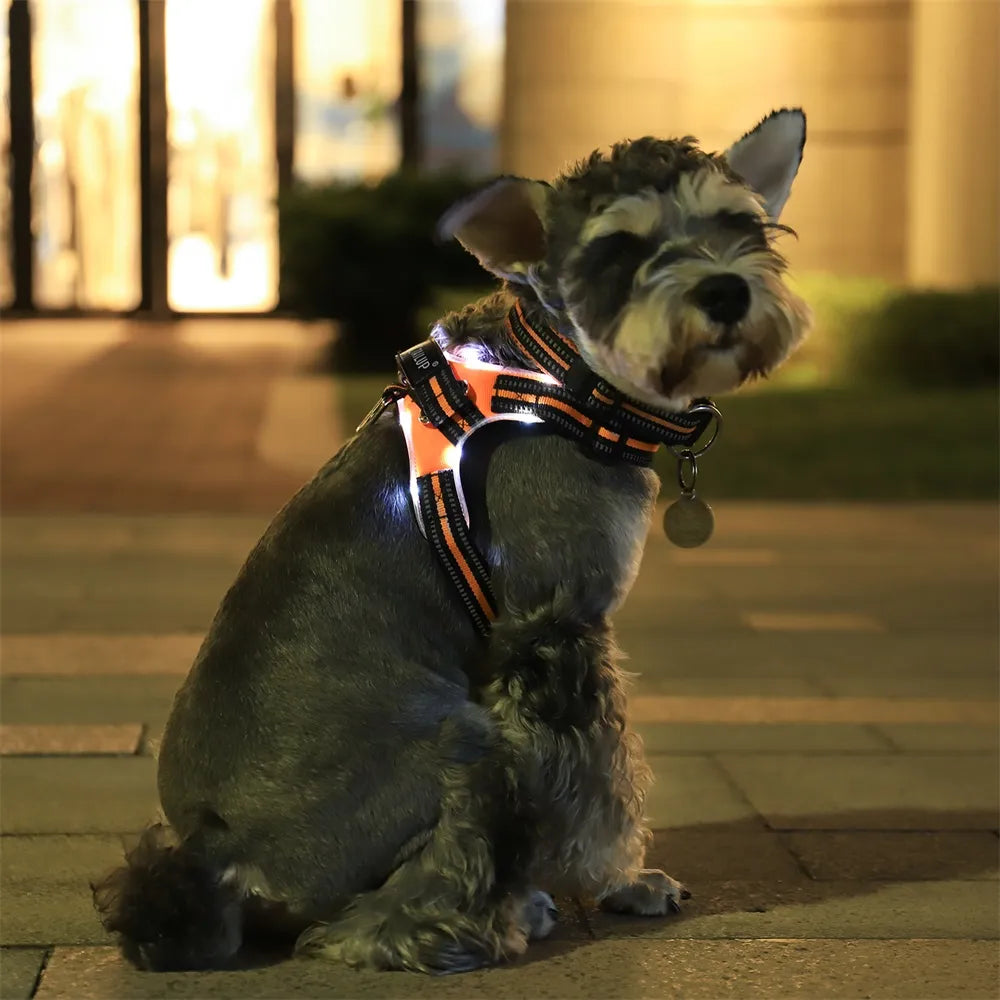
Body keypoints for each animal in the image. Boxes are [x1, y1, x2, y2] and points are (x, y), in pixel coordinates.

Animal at [92, 107, 812, 968]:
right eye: (619, 248)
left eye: (740, 223)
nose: (725, 290)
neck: (560, 373)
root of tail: (216, 855)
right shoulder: (555, 626)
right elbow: (599, 780)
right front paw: (624, 884)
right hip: (466, 737)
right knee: (383, 912)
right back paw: (497, 916)